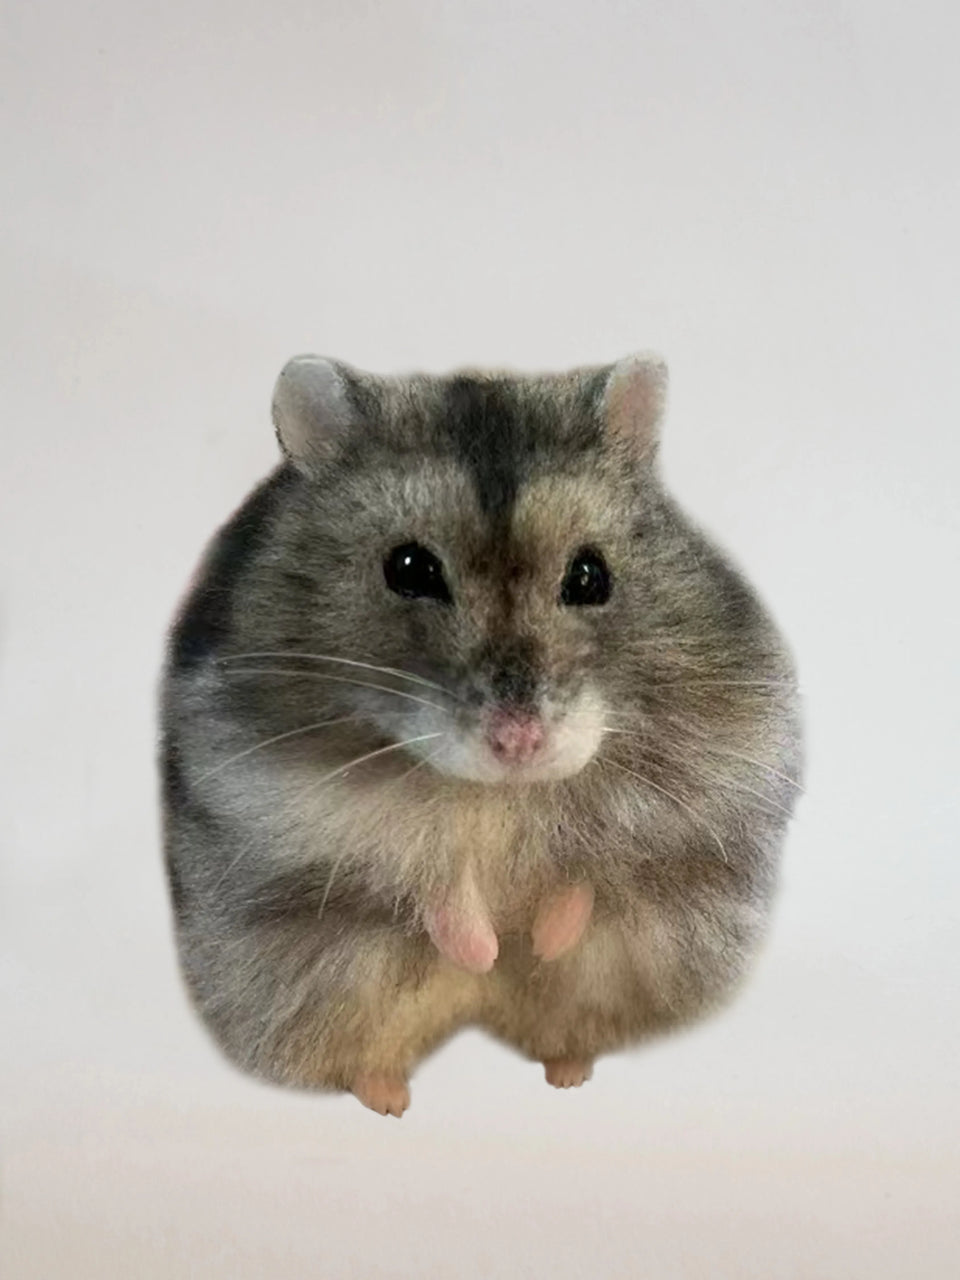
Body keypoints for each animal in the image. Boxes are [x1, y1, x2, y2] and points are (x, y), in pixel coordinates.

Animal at [159, 352, 802, 1116]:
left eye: (591, 575)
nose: (518, 743)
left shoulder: (708, 778)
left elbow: (593, 871)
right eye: (409, 568)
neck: (499, 796)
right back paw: (390, 1101)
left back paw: (566, 1071)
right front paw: (484, 950)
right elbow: (424, 873)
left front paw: (537, 945)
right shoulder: (280, 798)